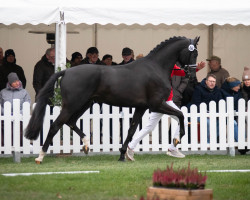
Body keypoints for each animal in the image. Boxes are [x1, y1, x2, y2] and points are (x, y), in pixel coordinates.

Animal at [25, 36, 199, 163]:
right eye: (193, 53)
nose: (191, 75)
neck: (156, 67)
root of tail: (66, 72)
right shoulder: (156, 105)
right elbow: (181, 115)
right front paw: (176, 139)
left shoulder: (141, 107)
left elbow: (131, 130)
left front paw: (123, 155)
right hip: (72, 105)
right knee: (55, 125)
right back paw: (40, 156)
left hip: (84, 104)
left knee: (70, 122)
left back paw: (86, 145)